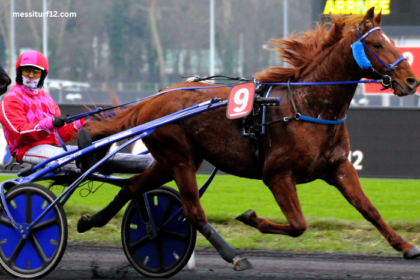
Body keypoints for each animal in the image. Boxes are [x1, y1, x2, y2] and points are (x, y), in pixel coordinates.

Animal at [79, 8, 420, 270]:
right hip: (178, 158)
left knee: (132, 186)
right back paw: (233, 255)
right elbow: (299, 225)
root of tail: (152, 99)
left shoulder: (339, 167)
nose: (411, 80)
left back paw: (91, 221)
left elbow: (369, 209)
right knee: (192, 210)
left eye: (391, 41)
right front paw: (251, 217)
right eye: (377, 44)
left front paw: (406, 246)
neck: (308, 107)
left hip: (172, 160)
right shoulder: (277, 174)